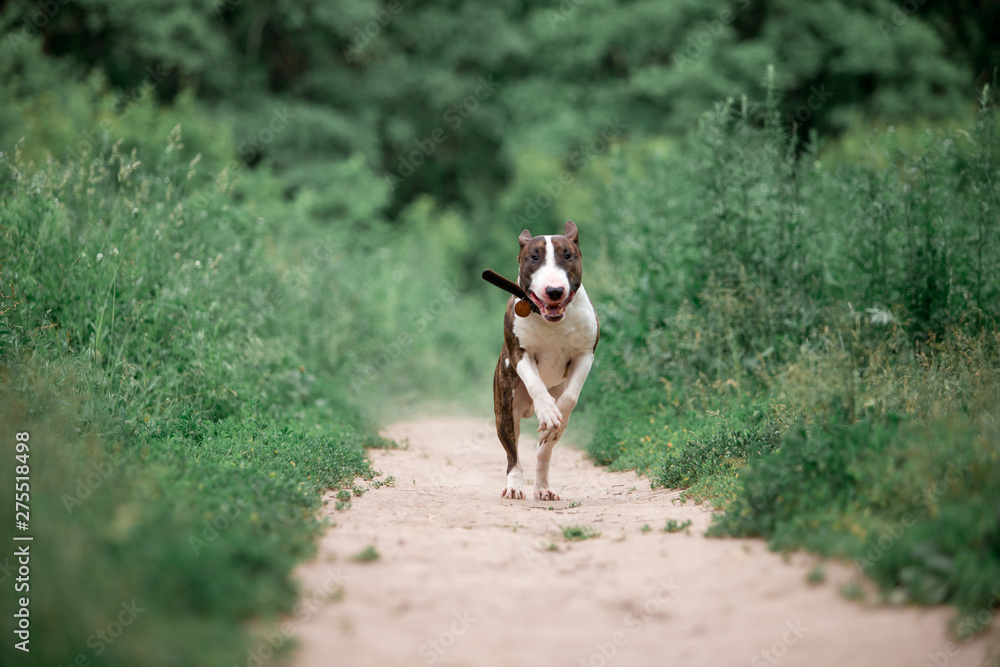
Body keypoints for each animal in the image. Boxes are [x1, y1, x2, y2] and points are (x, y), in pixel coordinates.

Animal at [490, 220, 596, 500]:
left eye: (567, 256)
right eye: (534, 257)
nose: (554, 291)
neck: (553, 322)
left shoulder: (585, 354)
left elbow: (570, 397)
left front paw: (553, 417)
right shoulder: (520, 353)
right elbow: (536, 383)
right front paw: (547, 410)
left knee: (544, 451)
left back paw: (543, 486)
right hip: (506, 410)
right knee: (513, 455)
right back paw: (514, 486)